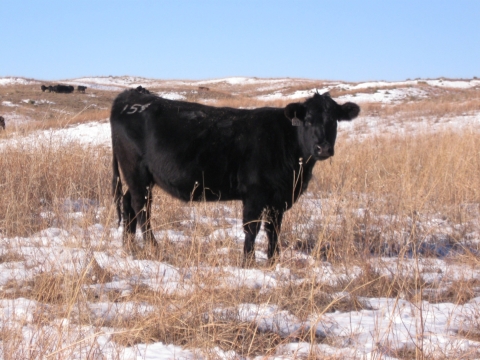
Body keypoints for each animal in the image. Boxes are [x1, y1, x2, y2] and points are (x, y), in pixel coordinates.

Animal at [111, 90, 360, 264]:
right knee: (142, 209)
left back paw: (129, 246)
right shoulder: (255, 193)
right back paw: (153, 248)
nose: (323, 148)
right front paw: (248, 263)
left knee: (128, 203)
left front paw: (273, 261)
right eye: (307, 120)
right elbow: (252, 228)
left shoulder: (278, 198)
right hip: (137, 173)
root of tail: (130, 96)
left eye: (333, 120)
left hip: (140, 178)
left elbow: (273, 229)